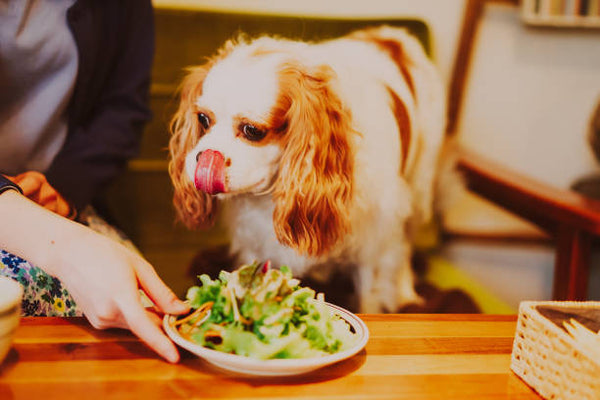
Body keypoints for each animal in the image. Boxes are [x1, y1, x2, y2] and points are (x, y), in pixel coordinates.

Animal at [166, 26, 448, 314]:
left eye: (252, 130)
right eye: (203, 119)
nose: (203, 157)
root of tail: (392, 35)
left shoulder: (374, 247)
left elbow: (370, 298)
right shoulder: (256, 245)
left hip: (418, 192)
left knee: (407, 245)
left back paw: (406, 291)